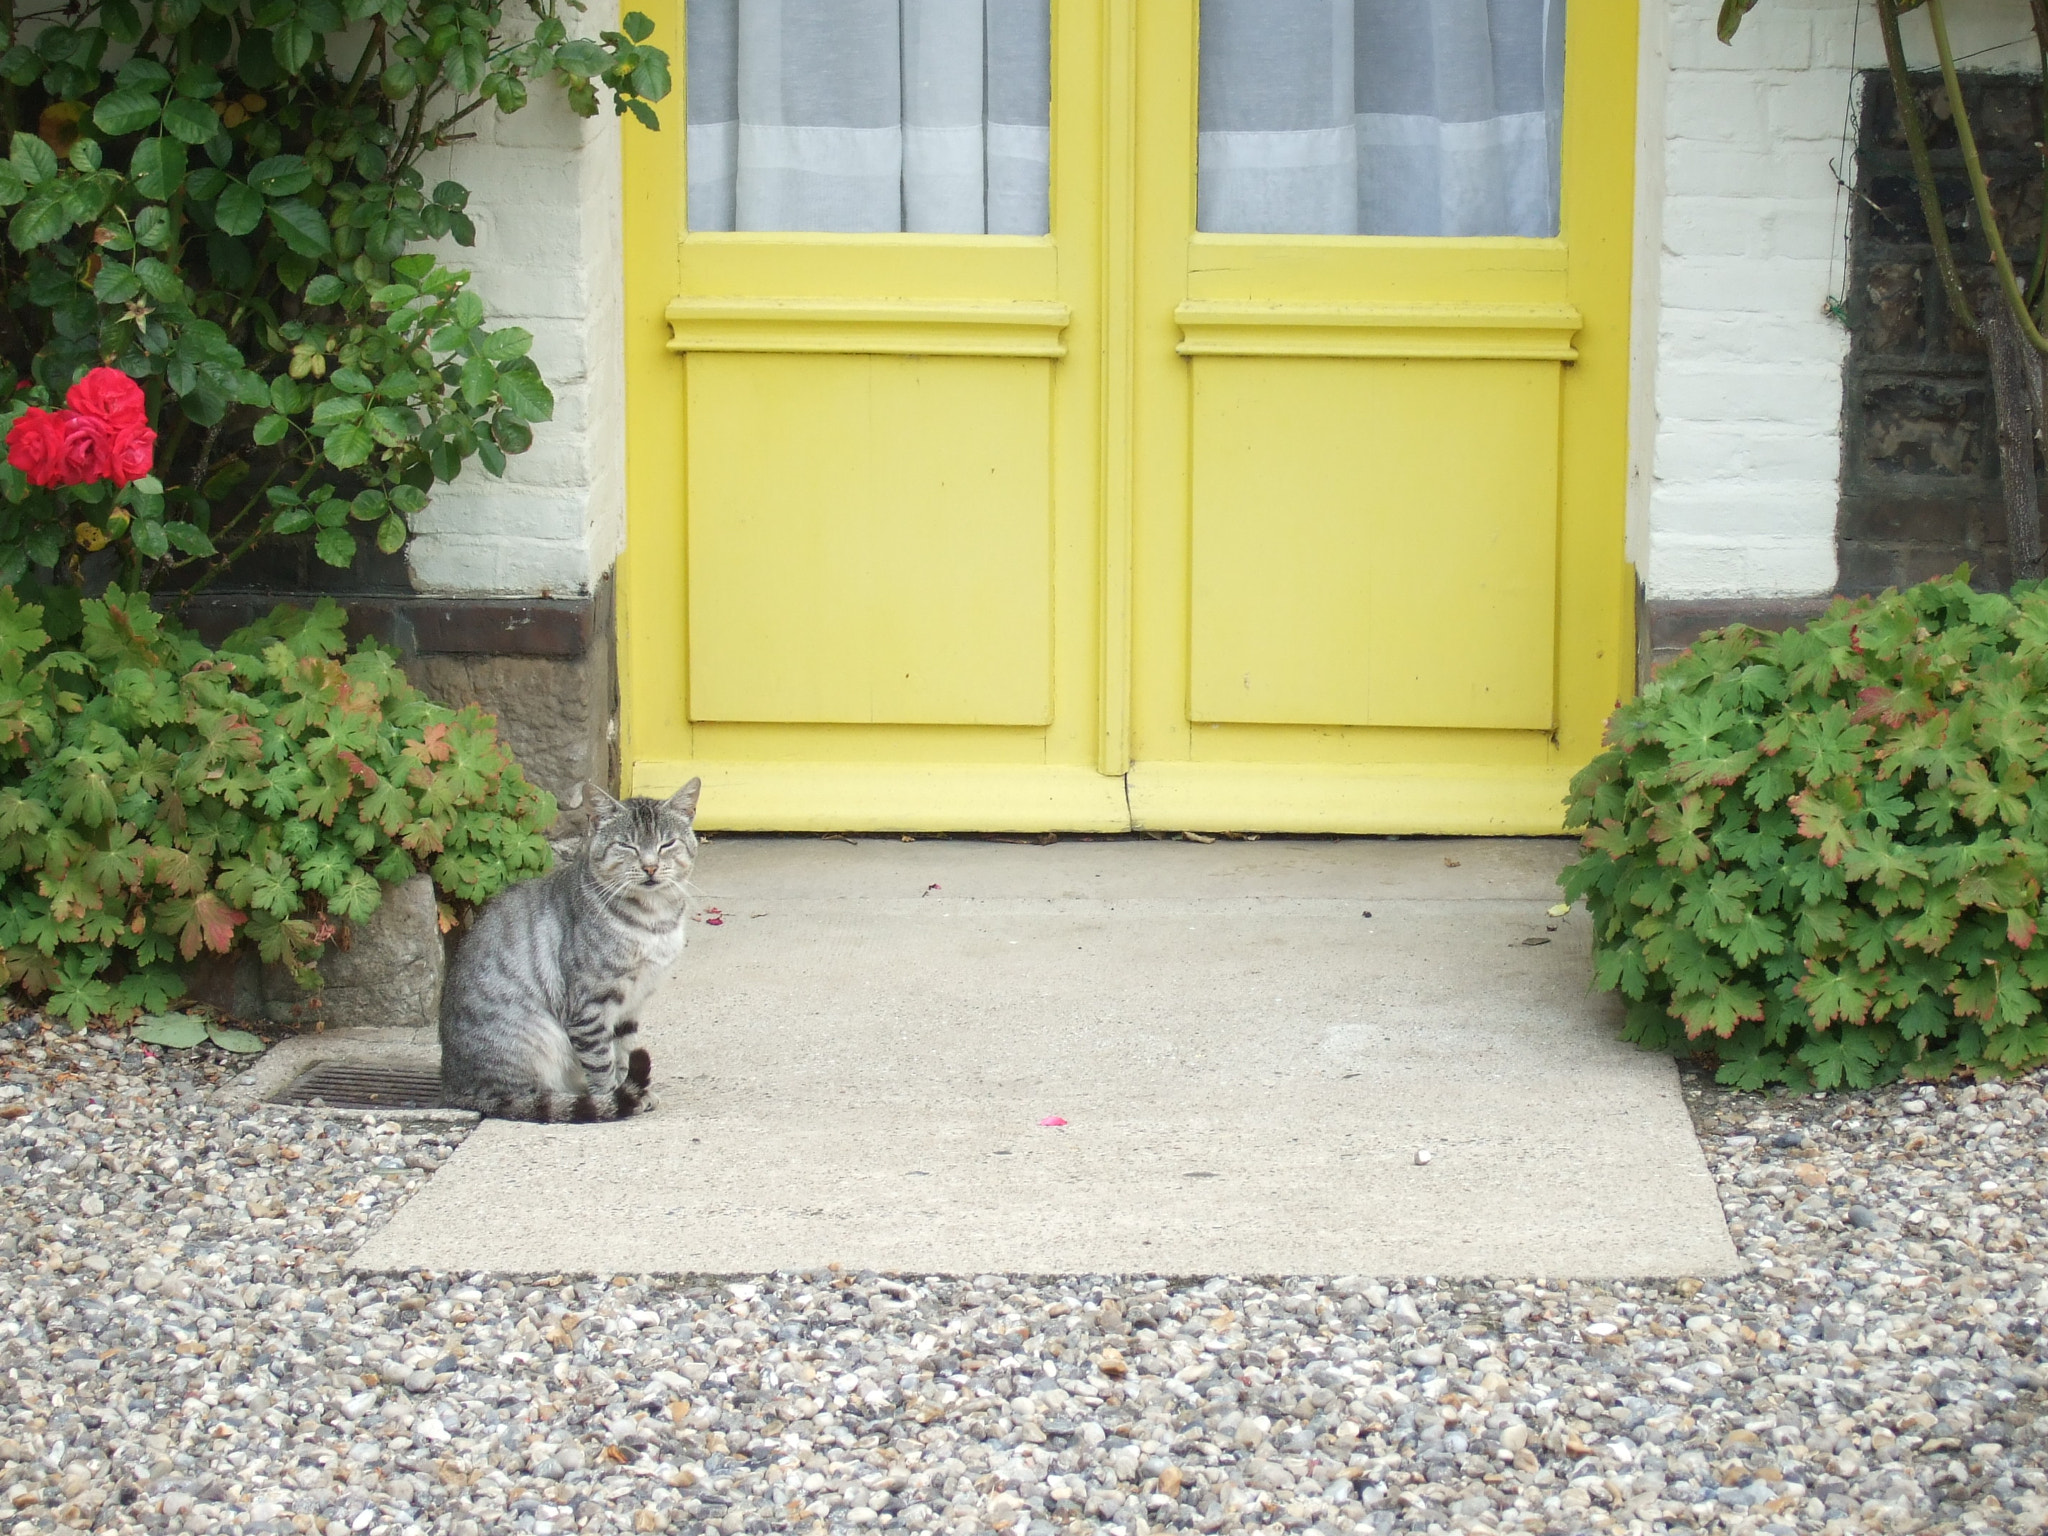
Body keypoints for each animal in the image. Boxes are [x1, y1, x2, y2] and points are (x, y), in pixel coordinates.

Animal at [440, 782, 704, 1122]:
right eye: (626, 846)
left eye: (667, 843)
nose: (650, 867)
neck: (654, 920)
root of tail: (452, 1086)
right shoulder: (590, 1006)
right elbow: (602, 1061)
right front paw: (612, 1098)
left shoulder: (631, 1005)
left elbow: (624, 1052)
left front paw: (631, 1089)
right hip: (536, 1038)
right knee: (529, 1097)